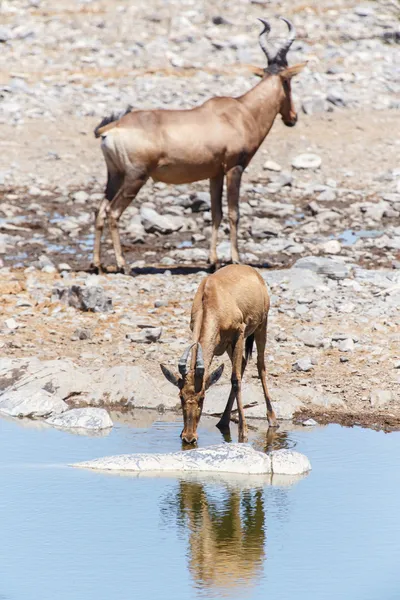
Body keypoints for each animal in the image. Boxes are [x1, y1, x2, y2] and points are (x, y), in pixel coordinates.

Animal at [94, 17, 306, 272]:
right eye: (288, 80)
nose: (292, 117)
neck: (241, 111)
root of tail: (113, 127)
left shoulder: (215, 173)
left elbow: (216, 213)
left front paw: (212, 261)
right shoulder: (234, 169)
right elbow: (234, 213)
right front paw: (236, 259)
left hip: (115, 175)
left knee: (100, 210)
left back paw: (96, 264)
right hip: (135, 177)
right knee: (113, 212)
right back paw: (123, 265)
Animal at [159, 264, 276, 442]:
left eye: (202, 397)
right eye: (181, 396)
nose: (189, 437)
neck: (212, 295)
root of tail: (252, 271)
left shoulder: (239, 332)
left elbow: (235, 380)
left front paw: (243, 431)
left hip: (261, 325)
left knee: (260, 365)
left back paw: (272, 418)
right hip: (228, 345)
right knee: (243, 362)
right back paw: (223, 421)